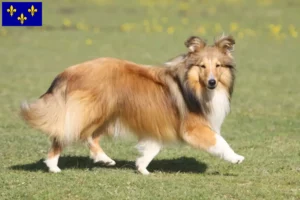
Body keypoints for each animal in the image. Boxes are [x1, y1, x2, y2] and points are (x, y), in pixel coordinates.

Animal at [20, 35, 244, 174]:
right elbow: (219, 141)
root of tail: (69, 71)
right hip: (95, 111)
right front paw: (236, 157)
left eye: (218, 66)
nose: (212, 82)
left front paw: (142, 167)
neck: (192, 85)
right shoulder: (193, 128)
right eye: (202, 66)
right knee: (70, 134)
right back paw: (53, 166)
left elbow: (153, 148)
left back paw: (104, 159)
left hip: (108, 113)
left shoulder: (158, 124)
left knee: (89, 137)